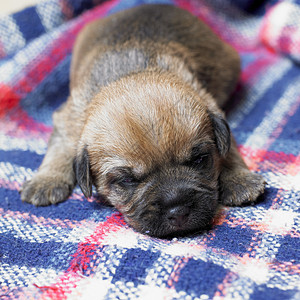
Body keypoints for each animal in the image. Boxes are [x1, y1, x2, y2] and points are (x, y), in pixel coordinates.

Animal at [21, 4, 264, 238]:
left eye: (199, 160)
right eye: (127, 180)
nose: (178, 211)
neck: (133, 73)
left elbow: (228, 150)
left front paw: (239, 180)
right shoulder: (68, 119)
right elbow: (59, 148)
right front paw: (46, 180)